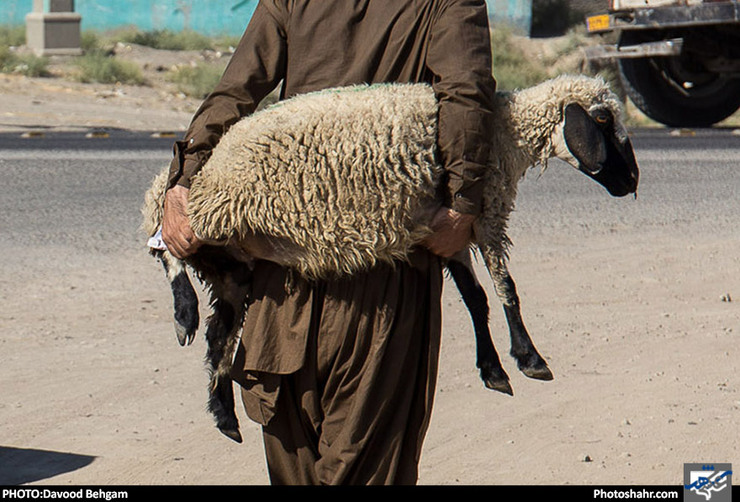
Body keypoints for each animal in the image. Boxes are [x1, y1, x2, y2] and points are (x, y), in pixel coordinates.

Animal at [143, 74, 636, 444]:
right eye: (604, 119)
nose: (632, 182)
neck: (505, 132)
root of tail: (207, 162)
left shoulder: (448, 232)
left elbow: (477, 299)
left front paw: (494, 369)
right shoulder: (487, 214)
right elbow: (506, 289)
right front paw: (529, 357)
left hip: (234, 263)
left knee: (218, 336)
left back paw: (223, 412)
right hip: (211, 211)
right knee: (162, 239)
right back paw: (183, 312)